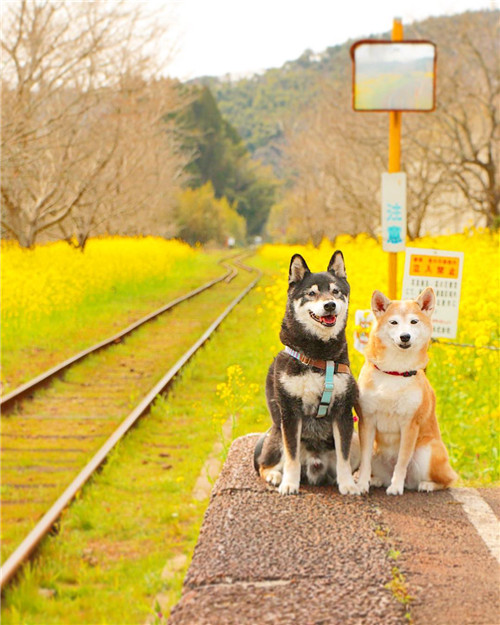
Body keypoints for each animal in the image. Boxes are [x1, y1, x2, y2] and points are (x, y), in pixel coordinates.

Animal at [254, 251, 360, 494]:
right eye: (311, 293)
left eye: (336, 291)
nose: (330, 305)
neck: (318, 356)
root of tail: (314, 466)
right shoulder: (290, 412)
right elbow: (291, 456)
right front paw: (290, 484)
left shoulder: (343, 411)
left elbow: (344, 456)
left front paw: (348, 485)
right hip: (277, 434)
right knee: (264, 463)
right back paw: (275, 475)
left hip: (357, 439)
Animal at [356, 286, 458, 494]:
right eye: (393, 322)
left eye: (413, 321)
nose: (405, 336)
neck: (394, 372)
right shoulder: (367, 420)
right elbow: (364, 461)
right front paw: (361, 484)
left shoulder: (410, 424)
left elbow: (402, 461)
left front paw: (396, 487)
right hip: (378, 452)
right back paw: (376, 480)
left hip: (427, 452)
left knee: (448, 480)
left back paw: (427, 484)